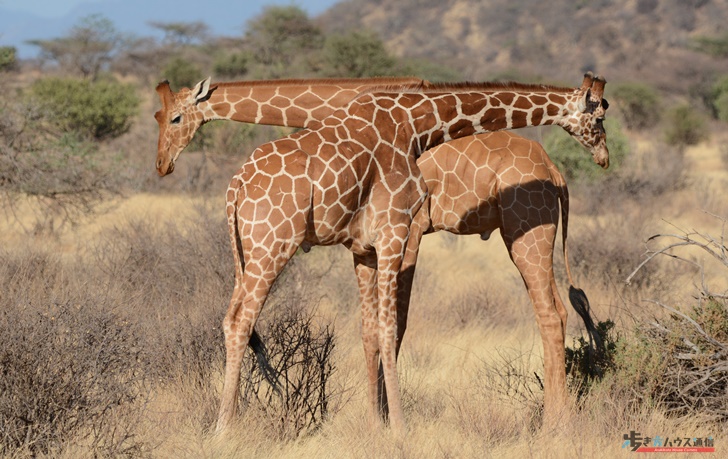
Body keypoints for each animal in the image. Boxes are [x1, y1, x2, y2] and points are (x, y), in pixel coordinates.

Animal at [156, 73, 612, 434]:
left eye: (173, 118)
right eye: (601, 115)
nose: (162, 164)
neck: (415, 123)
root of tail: (556, 173)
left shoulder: (385, 240)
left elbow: (379, 329)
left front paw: (382, 421)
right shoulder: (393, 235)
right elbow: (387, 328)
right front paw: (394, 425)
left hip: (527, 231)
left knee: (553, 311)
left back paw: (556, 421)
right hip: (271, 246)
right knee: (238, 321)